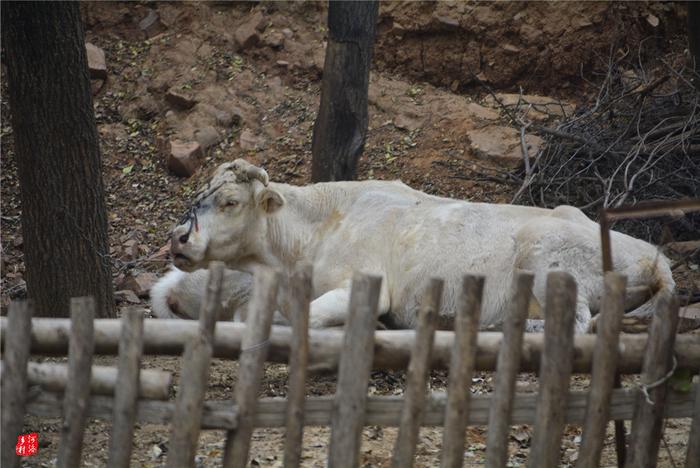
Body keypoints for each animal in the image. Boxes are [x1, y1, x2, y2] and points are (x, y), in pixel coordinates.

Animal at [167, 160, 676, 332]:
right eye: (200, 196)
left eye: (230, 202)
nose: (179, 236)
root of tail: (657, 259)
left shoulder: (363, 283)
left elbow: (307, 319)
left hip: (546, 258)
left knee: (576, 323)